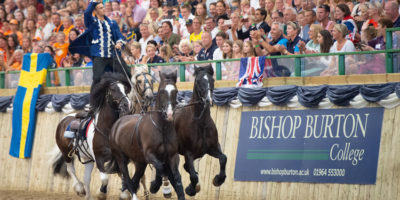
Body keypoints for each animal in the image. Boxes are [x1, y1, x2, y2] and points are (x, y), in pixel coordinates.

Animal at [50, 72, 133, 200]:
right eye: (113, 89)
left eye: (125, 89)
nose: (127, 104)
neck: (106, 131)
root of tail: (63, 120)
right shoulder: (99, 158)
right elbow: (105, 179)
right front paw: (101, 193)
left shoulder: (118, 157)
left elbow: (123, 174)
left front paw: (125, 193)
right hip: (65, 153)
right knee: (70, 169)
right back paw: (79, 189)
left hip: (87, 158)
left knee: (86, 178)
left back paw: (88, 196)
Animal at [107, 70, 187, 200]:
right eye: (162, 91)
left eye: (175, 91)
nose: (169, 114)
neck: (162, 129)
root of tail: (116, 125)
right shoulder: (150, 155)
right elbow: (159, 168)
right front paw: (154, 186)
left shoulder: (172, 156)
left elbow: (176, 178)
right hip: (121, 159)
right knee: (128, 179)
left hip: (140, 162)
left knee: (135, 180)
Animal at [173, 65, 227, 195]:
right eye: (198, 81)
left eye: (212, 80)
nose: (208, 100)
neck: (201, 124)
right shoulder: (188, 153)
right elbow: (193, 176)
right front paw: (191, 189)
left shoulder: (212, 148)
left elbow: (223, 158)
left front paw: (218, 179)